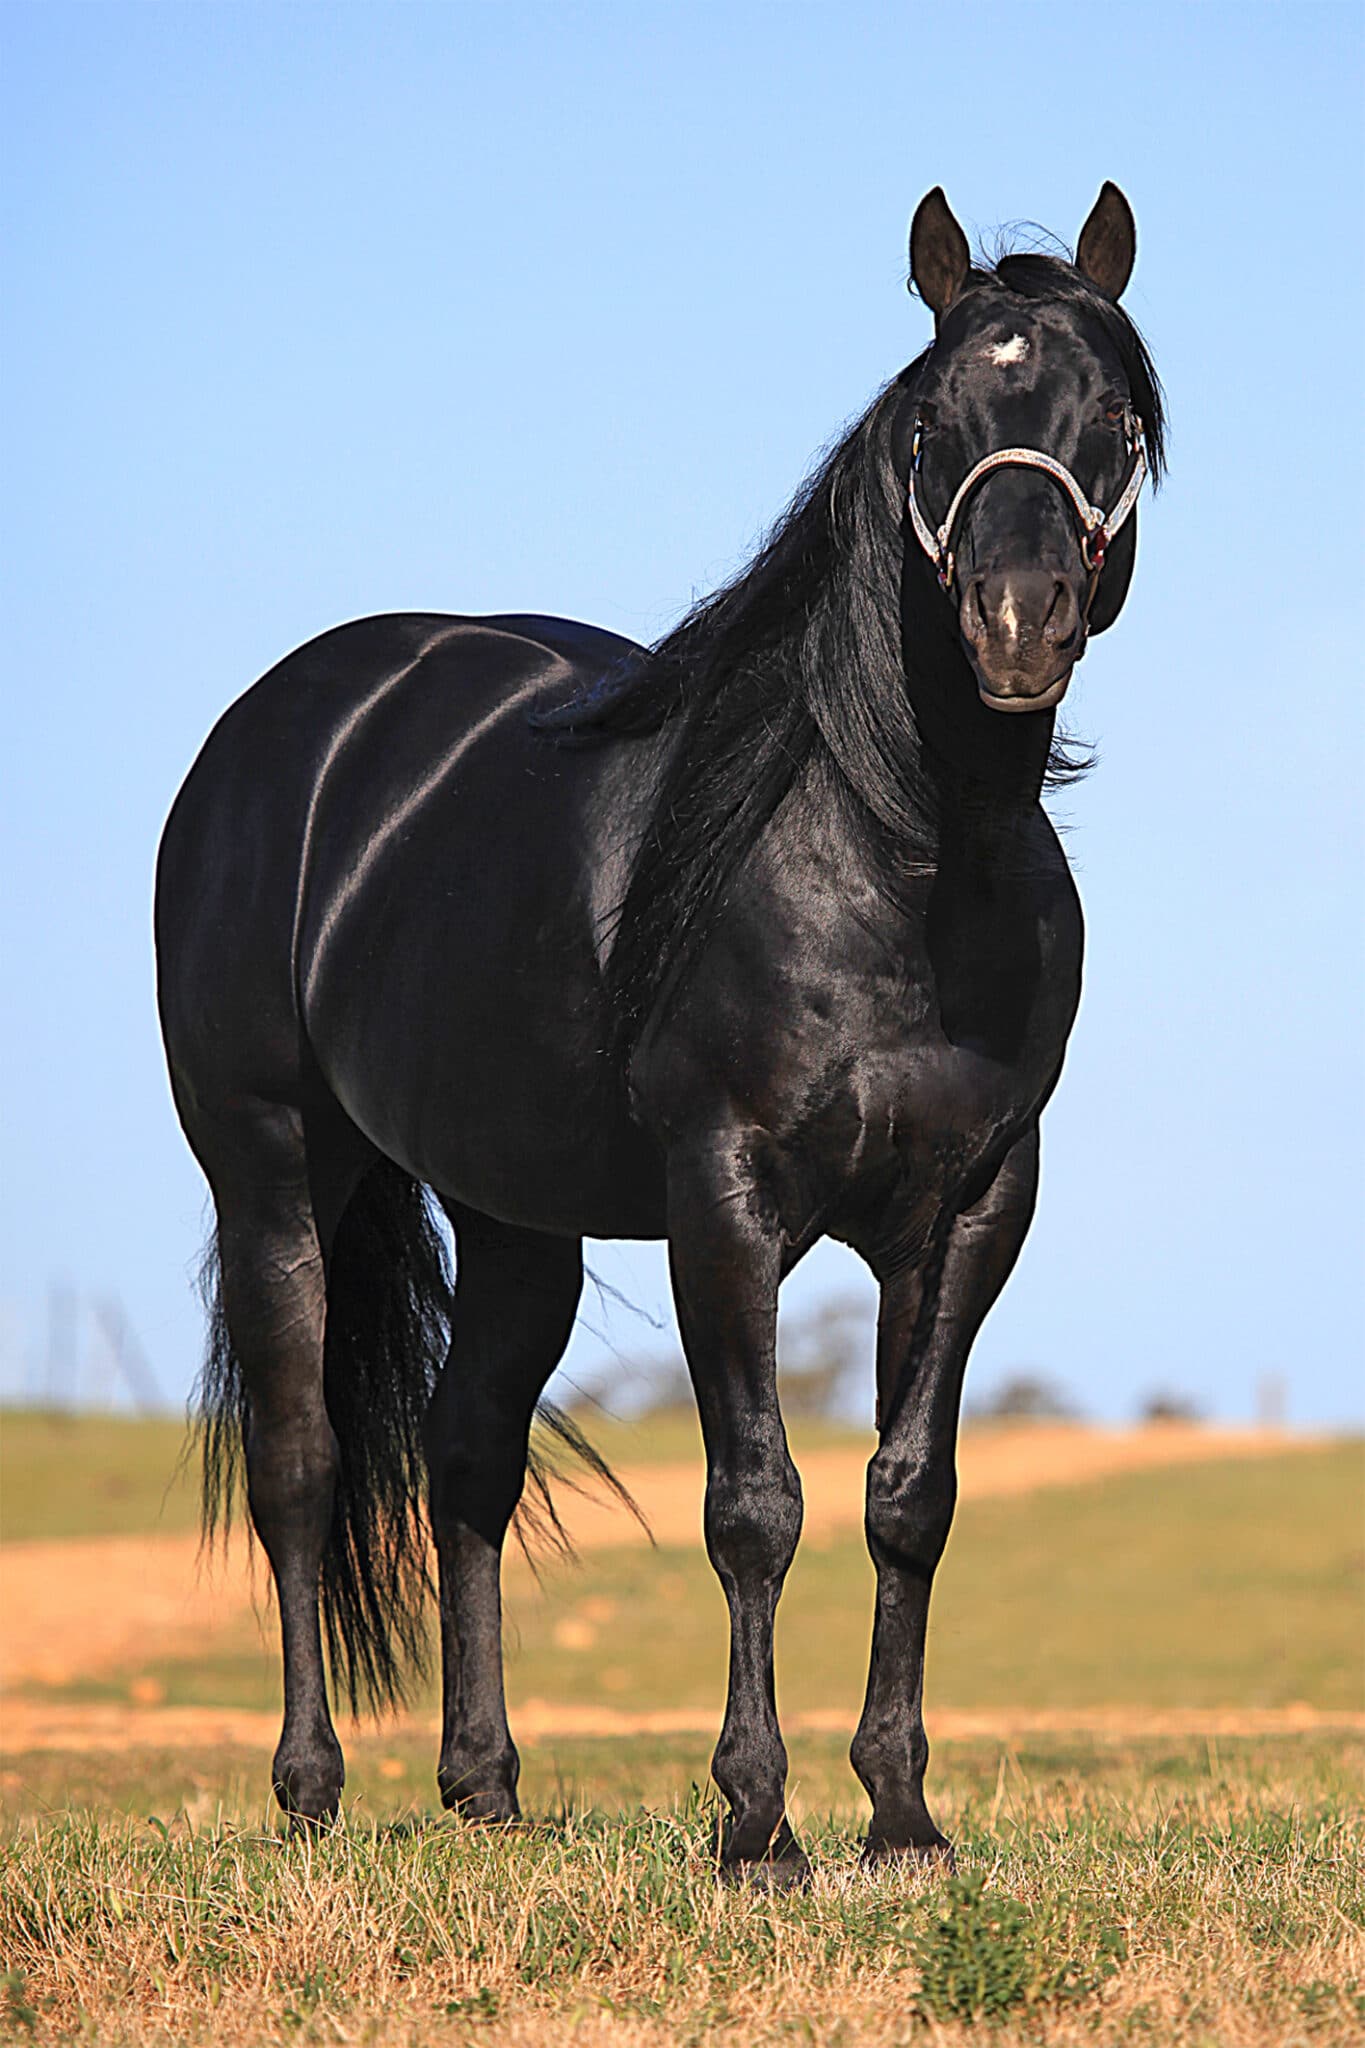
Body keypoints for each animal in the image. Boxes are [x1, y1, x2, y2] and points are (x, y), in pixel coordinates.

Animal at [155, 182, 1164, 1885]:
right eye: (932, 420)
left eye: (1112, 416)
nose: (1014, 624)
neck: (898, 861)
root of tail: (291, 728)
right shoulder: (726, 1197)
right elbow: (753, 1501)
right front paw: (757, 1825)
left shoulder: (970, 1206)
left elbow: (910, 1495)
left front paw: (901, 1819)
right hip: (274, 1168)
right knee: (303, 1463)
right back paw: (310, 1794)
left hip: (510, 1212)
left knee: (466, 1456)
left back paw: (486, 1791)